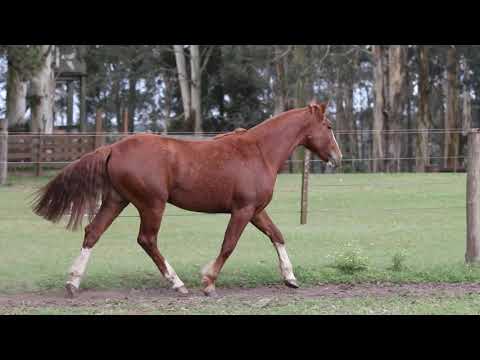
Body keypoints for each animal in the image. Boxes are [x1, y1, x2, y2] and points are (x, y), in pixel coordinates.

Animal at [32, 102, 342, 296]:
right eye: (328, 126)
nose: (337, 158)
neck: (259, 151)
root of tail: (113, 148)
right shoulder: (243, 210)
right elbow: (229, 244)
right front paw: (208, 281)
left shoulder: (255, 210)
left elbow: (277, 235)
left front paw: (290, 278)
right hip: (152, 204)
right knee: (147, 240)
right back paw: (178, 284)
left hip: (116, 201)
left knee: (93, 232)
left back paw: (73, 283)